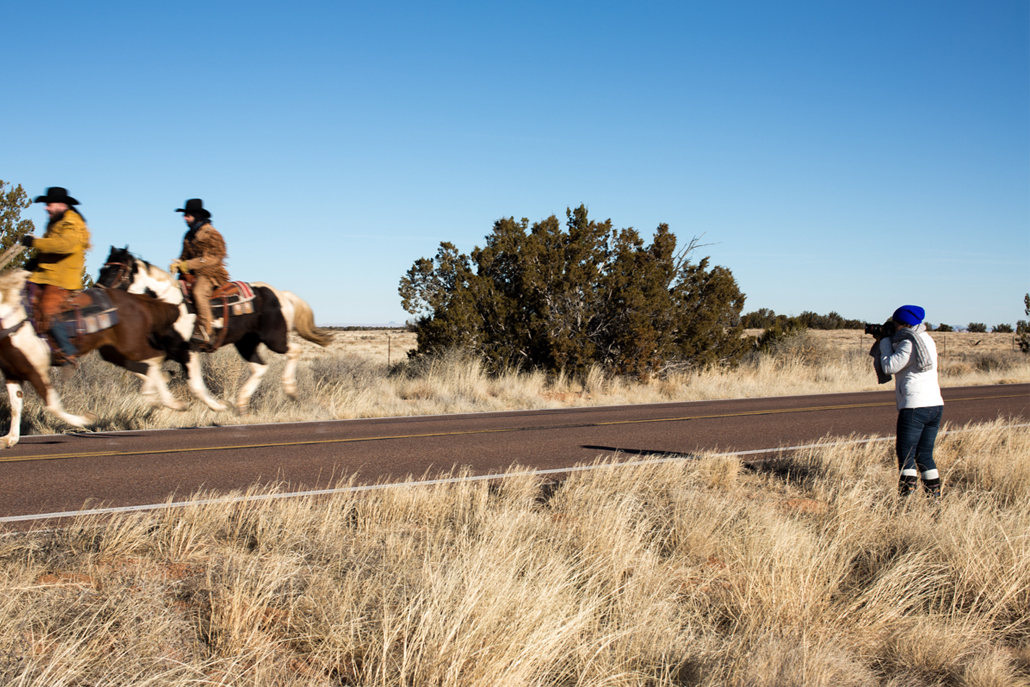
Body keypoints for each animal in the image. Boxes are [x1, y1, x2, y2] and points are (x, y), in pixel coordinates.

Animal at [1, 265, 182, 449]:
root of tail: (137, 298)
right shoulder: (12, 373)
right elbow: (15, 405)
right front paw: (9, 439)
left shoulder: (36, 371)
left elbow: (52, 405)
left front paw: (85, 420)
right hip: (113, 352)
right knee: (145, 366)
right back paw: (163, 392)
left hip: (131, 346)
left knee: (156, 357)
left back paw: (161, 397)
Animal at [95, 250, 331, 416]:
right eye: (101, 269)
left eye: (114, 271)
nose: (97, 294)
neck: (168, 304)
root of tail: (281, 294)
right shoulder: (163, 351)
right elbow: (146, 371)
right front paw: (165, 400)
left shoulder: (188, 351)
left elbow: (196, 386)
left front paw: (218, 407)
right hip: (246, 343)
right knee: (260, 367)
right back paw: (241, 403)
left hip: (274, 338)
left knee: (295, 350)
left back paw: (290, 389)